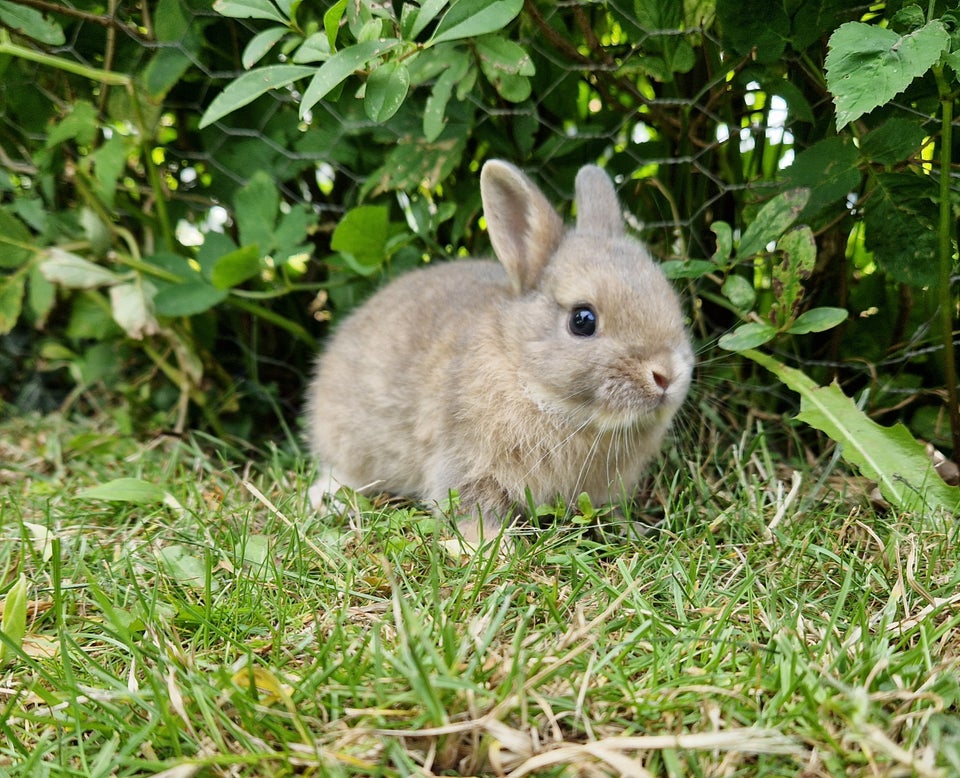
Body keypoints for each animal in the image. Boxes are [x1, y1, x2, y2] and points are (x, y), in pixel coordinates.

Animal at [306, 160, 688, 536]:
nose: (666, 376)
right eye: (582, 320)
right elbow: (473, 514)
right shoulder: (467, 467)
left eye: (670, 299)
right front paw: (492, 546)